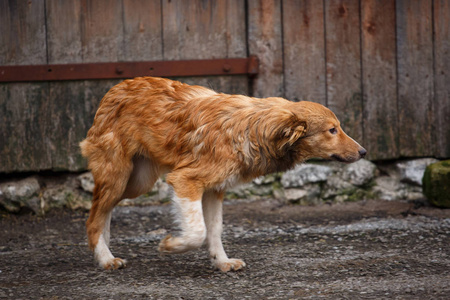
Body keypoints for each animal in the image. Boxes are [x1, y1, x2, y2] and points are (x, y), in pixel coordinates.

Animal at [79, 75, 364, 272]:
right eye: (332, 130)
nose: (363, 152)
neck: (251, 130)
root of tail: (115, 88)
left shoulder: (215, 190)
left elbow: (214, 230)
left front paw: (221, 262)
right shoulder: (185, 180)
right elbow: (197, 231)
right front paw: (171, 245)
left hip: (137, 182)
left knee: (103, 211)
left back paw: (103, 250)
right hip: (119, 176)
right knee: (93, 217)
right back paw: (104, 258)